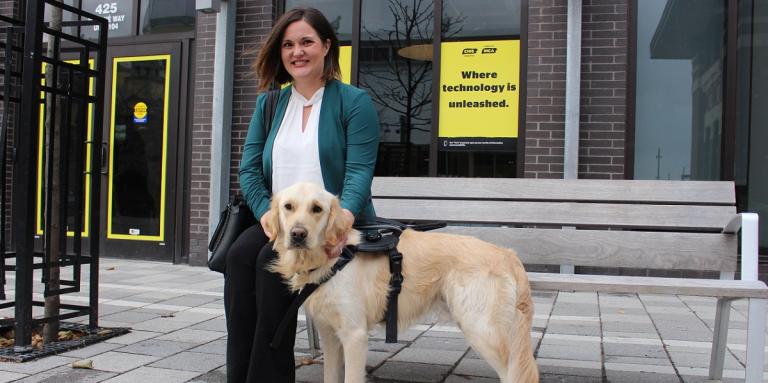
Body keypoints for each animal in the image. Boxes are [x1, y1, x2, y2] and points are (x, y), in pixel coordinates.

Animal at [268, 184, 536, 383]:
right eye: (288, 207)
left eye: (317, 208)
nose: (298, 234)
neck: (333, 259)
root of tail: (508, 254)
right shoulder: (330, 336)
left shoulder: (355, 335)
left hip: (482, 329)